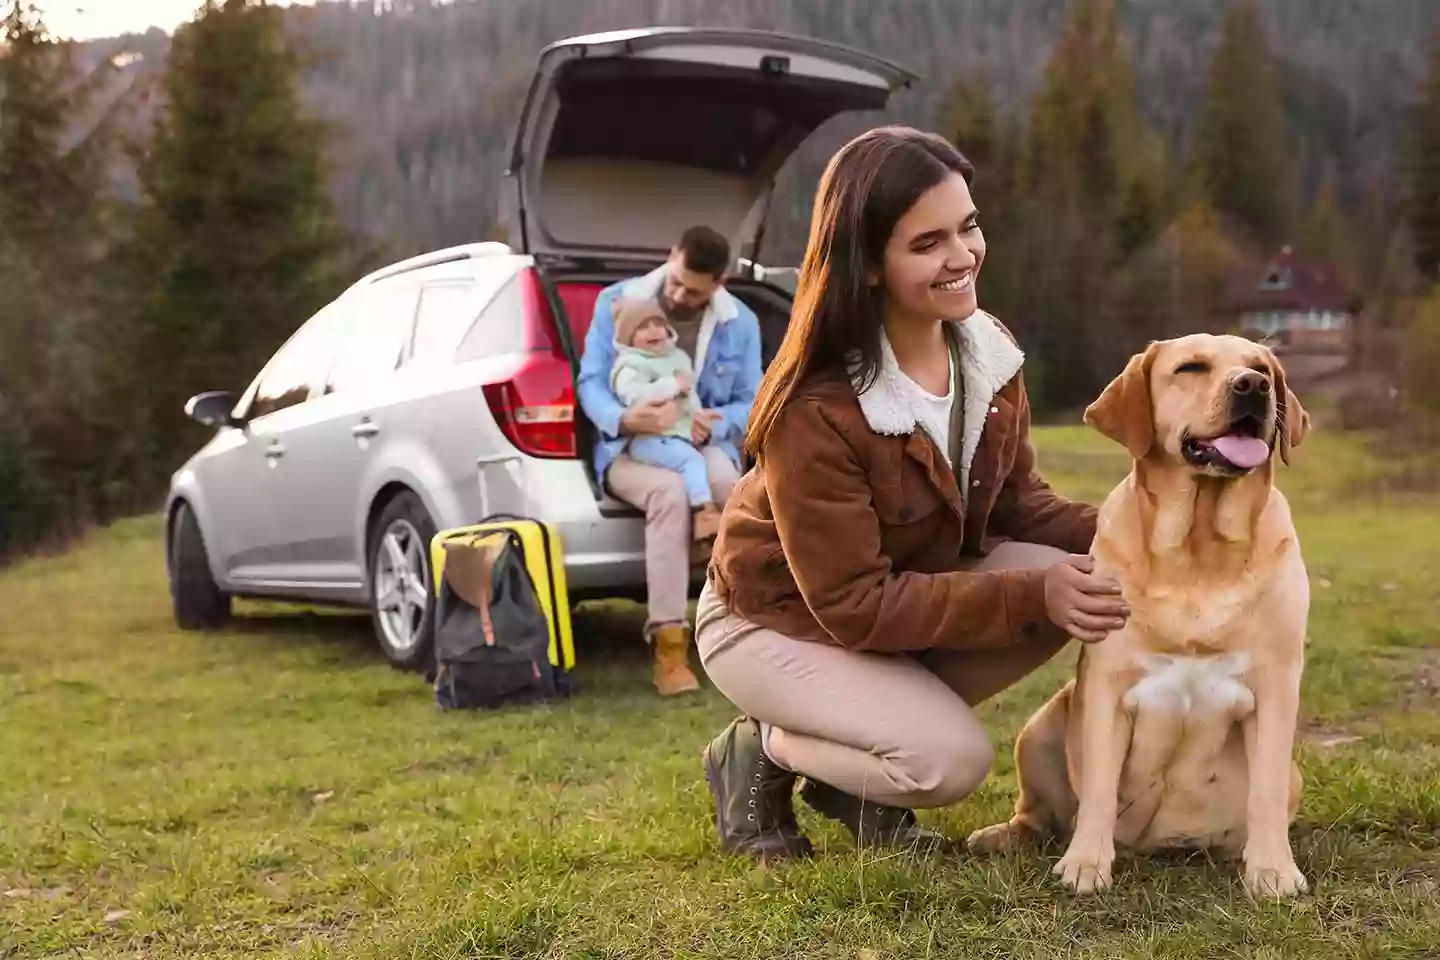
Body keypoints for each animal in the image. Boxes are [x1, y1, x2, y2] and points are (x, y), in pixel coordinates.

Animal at [967, 333, 1319, 898]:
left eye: (1262, 368)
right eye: (1191, 368)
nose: (1253, 386)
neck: (1198, 547)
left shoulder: (1275, 688)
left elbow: (1262, 792)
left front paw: (1273, 872)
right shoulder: (1106, 688)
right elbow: (1099, 786)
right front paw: (1085, 864)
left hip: (1294, 773)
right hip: (1040, 727)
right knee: (1038, 813)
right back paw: (1002, 837)